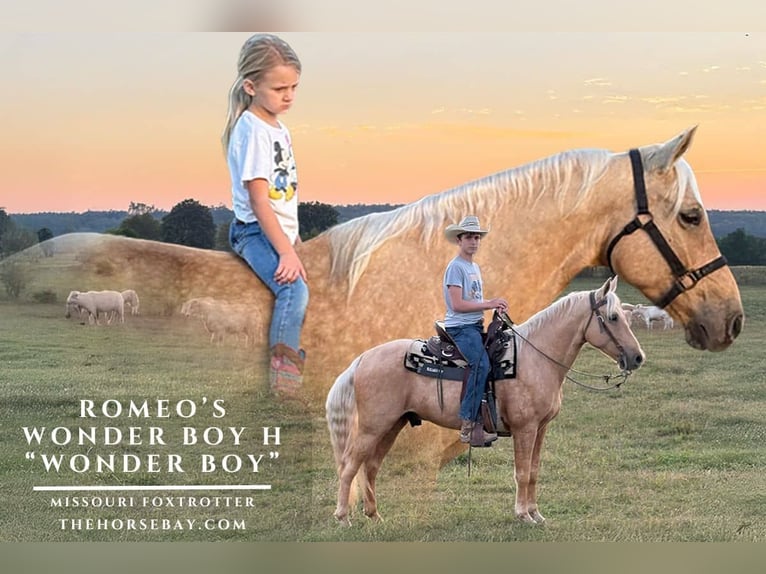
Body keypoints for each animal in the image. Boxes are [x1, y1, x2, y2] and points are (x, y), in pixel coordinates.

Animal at [325, 276, 644, 525]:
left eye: (626, 316)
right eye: (613, 318)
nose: (638, 358)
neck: (535, 357)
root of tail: (364, 358)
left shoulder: (541, 428)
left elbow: (534, 471)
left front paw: (536, 514)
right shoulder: (525, 429)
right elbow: (522, 472)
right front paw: (523, 515)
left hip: (392, 424)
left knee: (371, 466)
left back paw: (374, 515)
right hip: (372, 427)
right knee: (350, 464)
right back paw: (342, 517)